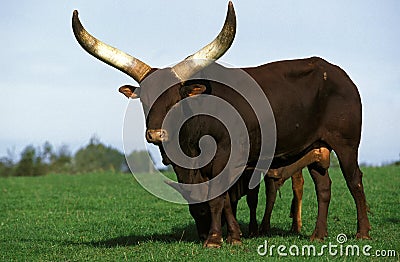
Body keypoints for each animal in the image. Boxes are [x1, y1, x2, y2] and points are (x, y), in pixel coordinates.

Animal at [72, 1, 372, 248]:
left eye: (177, 97)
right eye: (144, 99)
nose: (156, 133)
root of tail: (337, 73)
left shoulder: (226, 156)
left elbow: (219, 197)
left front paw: (216, 239)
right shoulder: (184, 166)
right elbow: (208, 199)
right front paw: (228, 235)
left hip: (346, 143)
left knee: (354, 180)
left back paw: (363, 233)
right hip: (316, 148)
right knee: (324, 186)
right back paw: (318, 235)